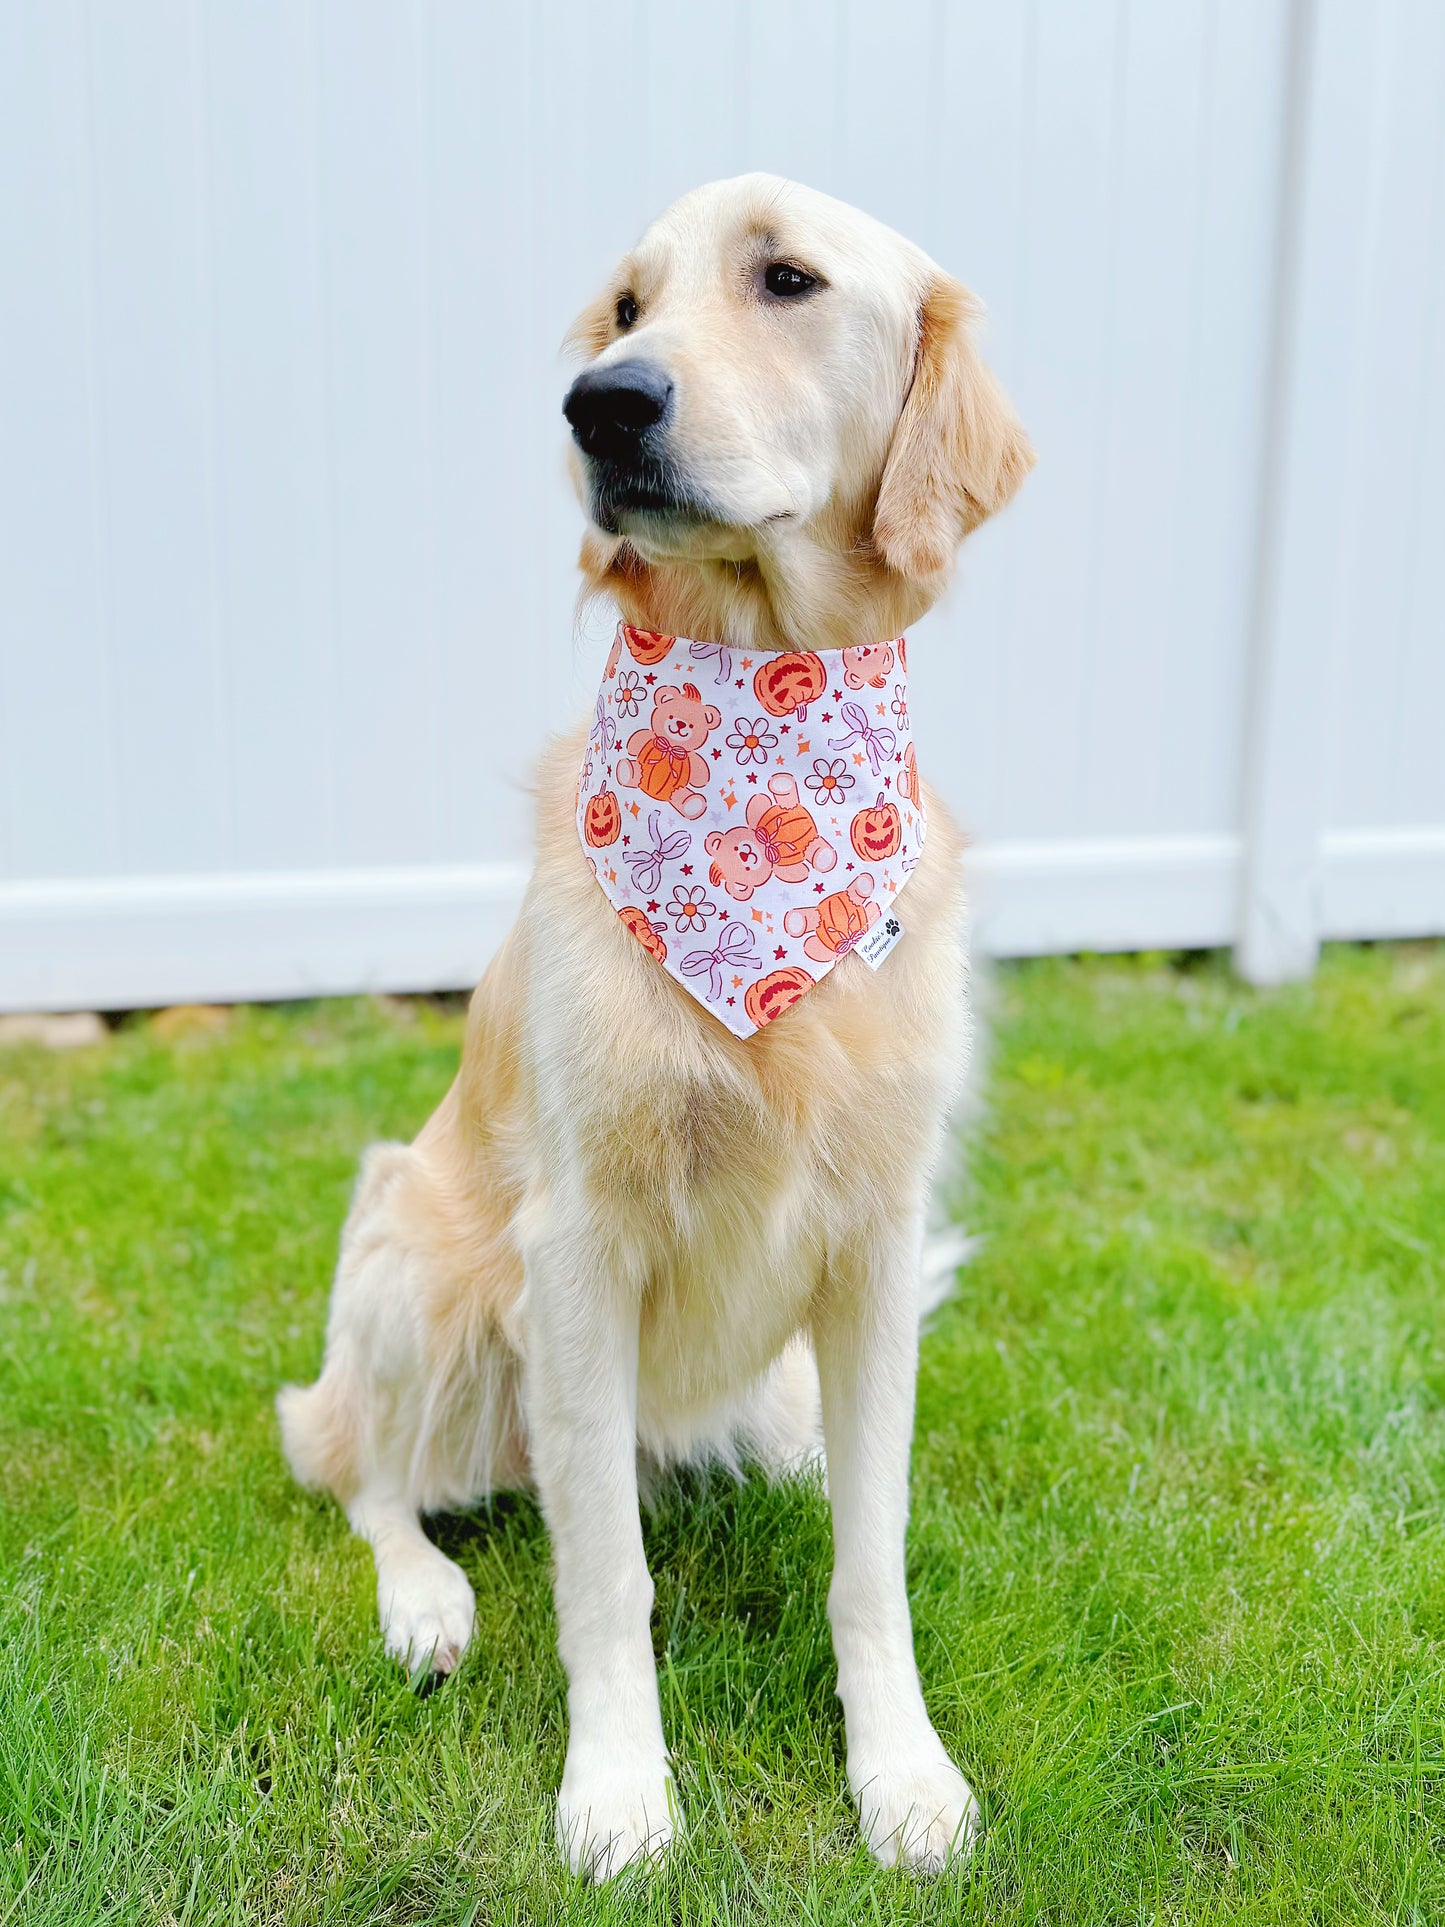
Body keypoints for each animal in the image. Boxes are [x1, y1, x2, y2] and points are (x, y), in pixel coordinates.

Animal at [277, 173, 1032, 1873]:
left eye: (787, 279)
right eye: (625, 308)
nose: (601, 404)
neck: (761, 705)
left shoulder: (876, 1235)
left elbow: (870, 1558)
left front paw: (903, 1771)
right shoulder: (576, 1244)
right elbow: (604, 1575)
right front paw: (619, 1787)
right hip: (417, 1259)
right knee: (362, 1464)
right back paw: (423, 1596)